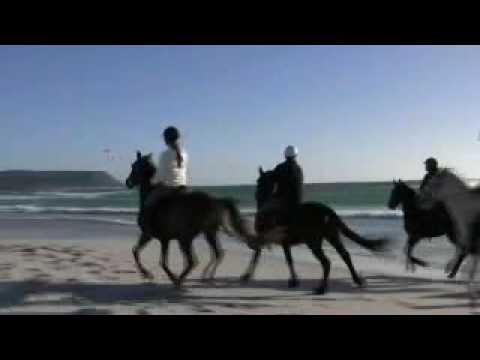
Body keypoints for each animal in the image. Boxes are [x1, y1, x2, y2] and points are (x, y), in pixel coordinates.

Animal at [125, 152, 256, 286]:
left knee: (194, 261)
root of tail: (215, 200)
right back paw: (205, 276)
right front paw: (152, 275)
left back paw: (182, 279)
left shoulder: (151, 235)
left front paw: (149, 274)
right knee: (216, 254)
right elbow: (151, 257)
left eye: (134, 166)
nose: (127, 182)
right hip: (208, 233)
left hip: (185, 238)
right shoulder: (162, 239)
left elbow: (146, 256)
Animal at [240, 167, 390, 294]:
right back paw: (357, 280)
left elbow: (257, 256)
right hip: (332, 236)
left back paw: (321, 288)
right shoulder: (284, 243)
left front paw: (246, 276)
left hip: (314, 242)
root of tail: (327, 210)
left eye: (259, 181)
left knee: (326, 262)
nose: (256, 195)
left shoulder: (264, 239)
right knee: (345, 255)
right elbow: (289, 260)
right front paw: (294, 281)